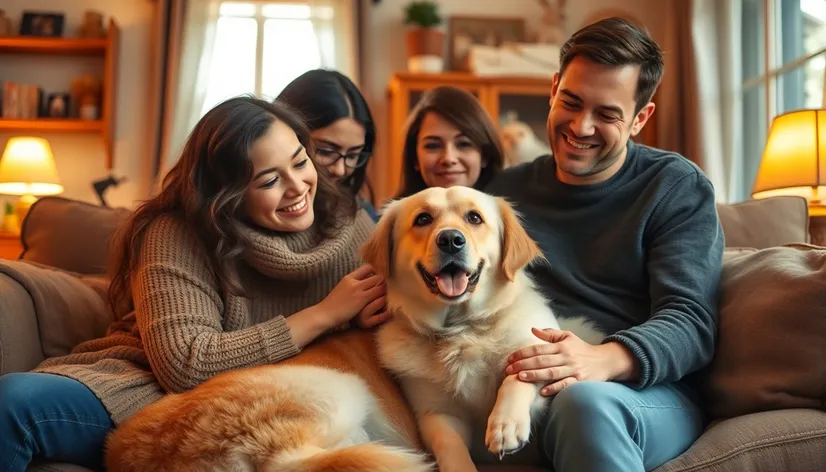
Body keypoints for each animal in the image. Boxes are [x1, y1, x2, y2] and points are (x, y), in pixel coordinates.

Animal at [364, 186, 600, 470]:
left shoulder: (540, 352)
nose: (451, 240)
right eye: (423, 219)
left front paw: (506, 425)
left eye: (474, 218)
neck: (462, 328)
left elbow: (518, 376)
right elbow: (449, 444)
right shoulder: (436, 412)